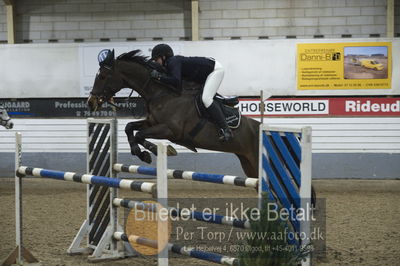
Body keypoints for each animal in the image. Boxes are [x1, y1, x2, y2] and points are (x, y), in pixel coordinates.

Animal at [87, 50, 260, 179]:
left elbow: (139, 134)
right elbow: (130, 127)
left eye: (102, 76)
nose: (90, 102)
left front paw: (155, 151)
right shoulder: (152, 122)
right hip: (249, 166)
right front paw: (141, 153)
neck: (161, 94)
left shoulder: (171, 130)